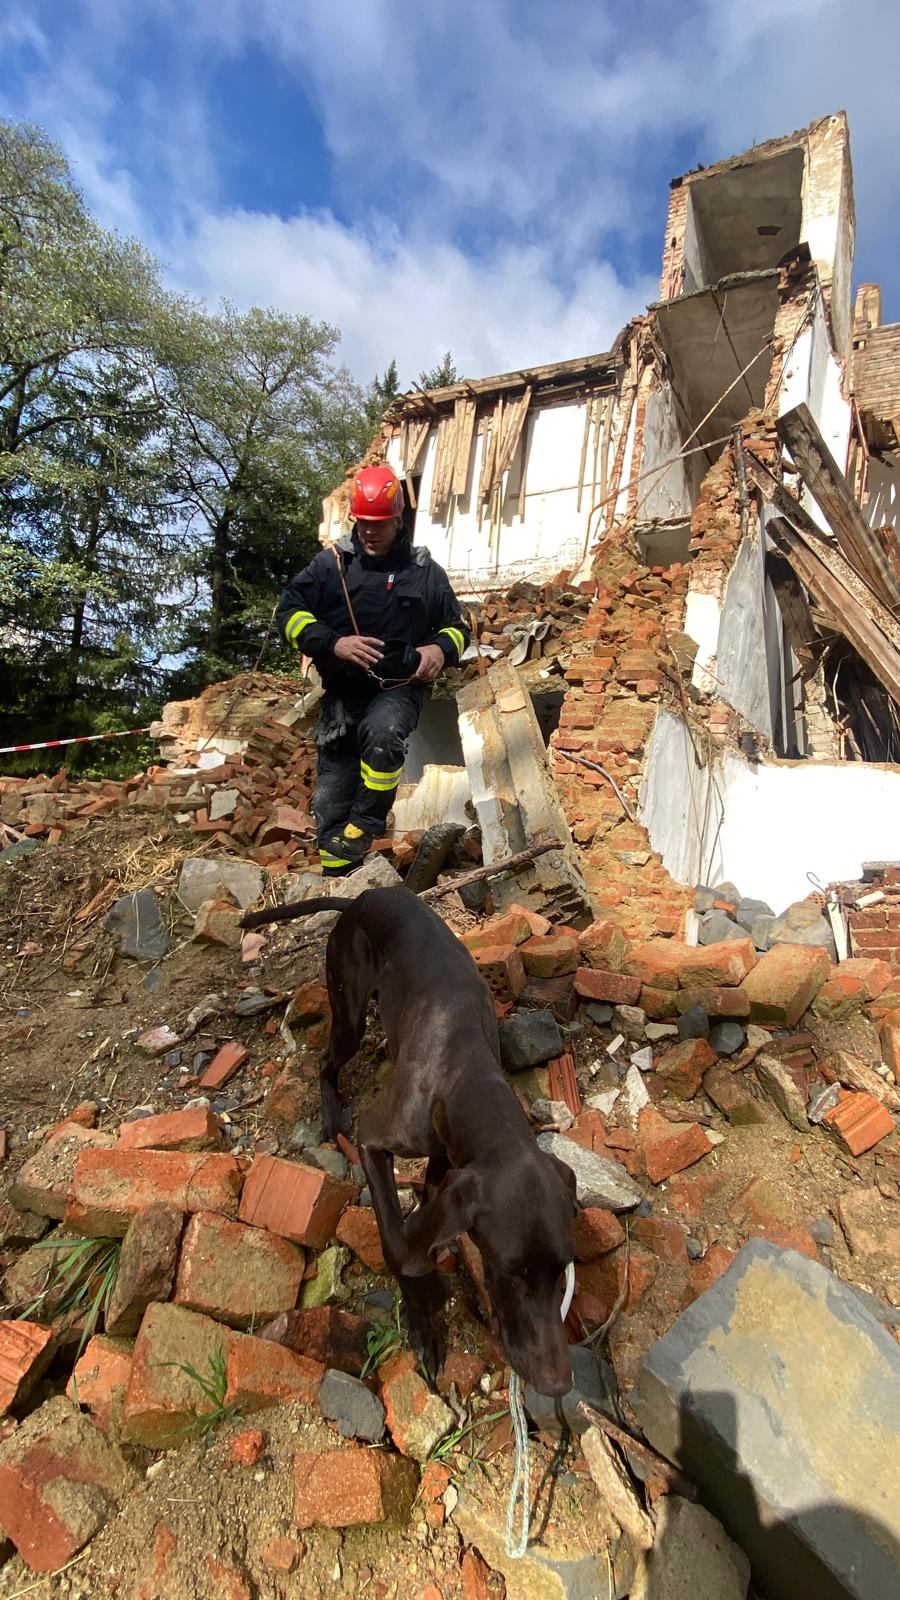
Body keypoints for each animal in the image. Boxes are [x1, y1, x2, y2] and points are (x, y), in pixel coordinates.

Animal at [242, 886, 577, 1395]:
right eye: (509, 1272)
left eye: (561, 1269)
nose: (557, 1385)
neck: (467, 1075)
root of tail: (359, 898)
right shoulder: (374, 1139)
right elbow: (398, 1245)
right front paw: (424, 1317)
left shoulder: (448, 1163)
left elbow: (427, 1207)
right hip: (350, 1013)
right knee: (325, 1062)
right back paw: (330, 1113)